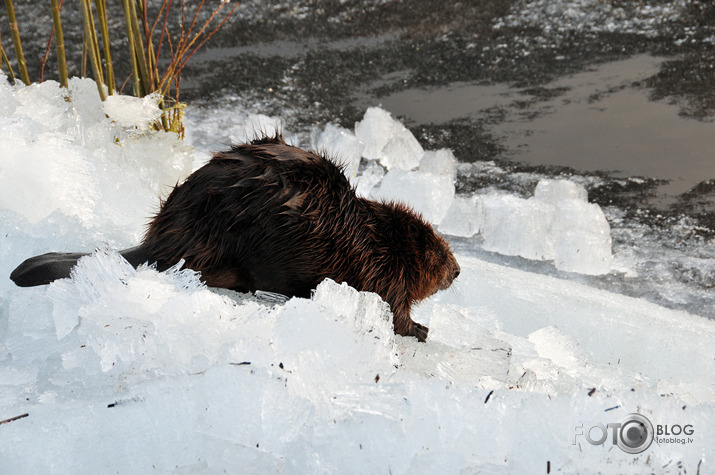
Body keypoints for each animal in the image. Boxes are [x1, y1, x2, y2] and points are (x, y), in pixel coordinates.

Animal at [9, 136, 458, 340]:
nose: (457, 271)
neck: (369, 236)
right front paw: (422, 329)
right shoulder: (380, 273)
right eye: (437, 252)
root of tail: (159, 242)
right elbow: (394, 313)